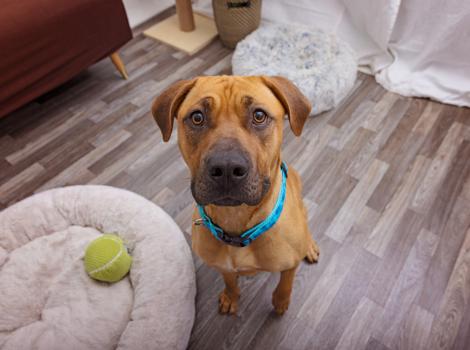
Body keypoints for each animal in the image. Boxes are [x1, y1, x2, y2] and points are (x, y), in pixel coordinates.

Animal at [151, 76, 320, 314]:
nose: (227, 168)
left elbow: (286, 282)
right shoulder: (223, 266)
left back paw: (310, 246)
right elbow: (230, 280)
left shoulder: (290, 264)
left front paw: (281, 302)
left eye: (259, 115)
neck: (236, 221)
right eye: (197, 117)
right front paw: (231, 297)